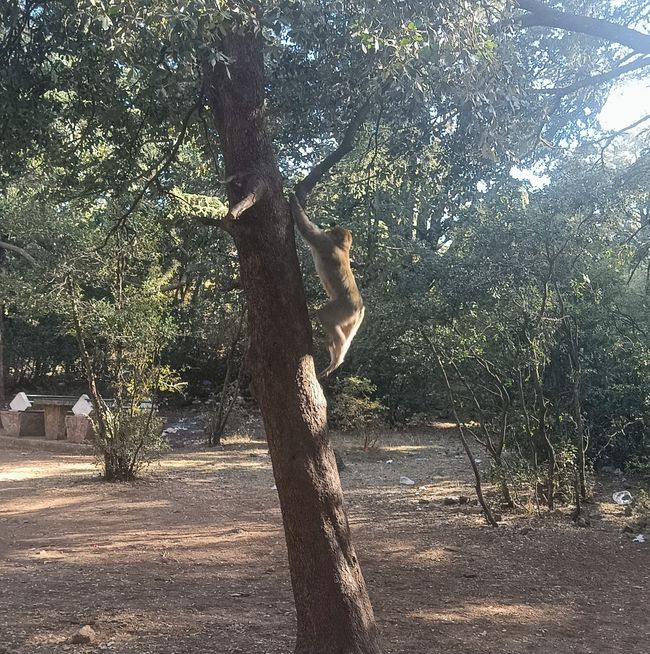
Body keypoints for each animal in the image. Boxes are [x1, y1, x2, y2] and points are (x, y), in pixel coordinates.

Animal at [290, 193, 365, 378]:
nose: (331, 228)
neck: (342, 247)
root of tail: (360, 307)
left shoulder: (323, 241)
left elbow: (307, 229)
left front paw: (293, 199)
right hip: (352, 318)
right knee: (347, 334)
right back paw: (337, 358)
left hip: (344, 308)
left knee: (325, 316)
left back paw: (337, 348)